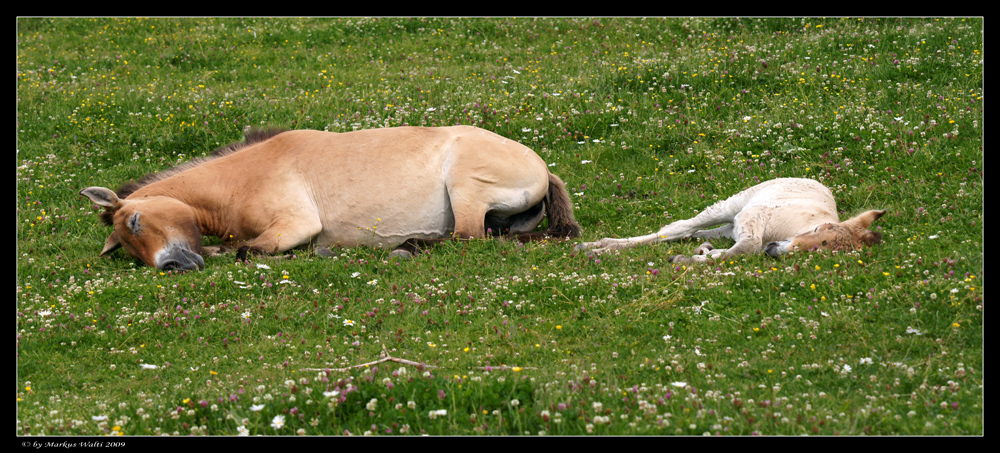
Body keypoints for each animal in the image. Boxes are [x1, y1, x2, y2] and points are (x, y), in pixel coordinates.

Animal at [82, 124, 584, 268]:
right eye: (126, 249)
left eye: (135, 222)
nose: (170, 266)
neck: (241, 180)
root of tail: (543, 167)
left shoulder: (296, 224)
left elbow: (248, 251)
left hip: (465, 188)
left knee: (466, 239)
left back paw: (407, 246)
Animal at [576, 177, 888, 262]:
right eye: (819, 231)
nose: (775, 252)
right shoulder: (754, 215)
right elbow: (747, 247)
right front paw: (686, 259)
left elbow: (739, 250)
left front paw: (701, 256)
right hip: (735, 203)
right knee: (678, 228)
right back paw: (596, 245)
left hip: (727, 226)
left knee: (694, 233)